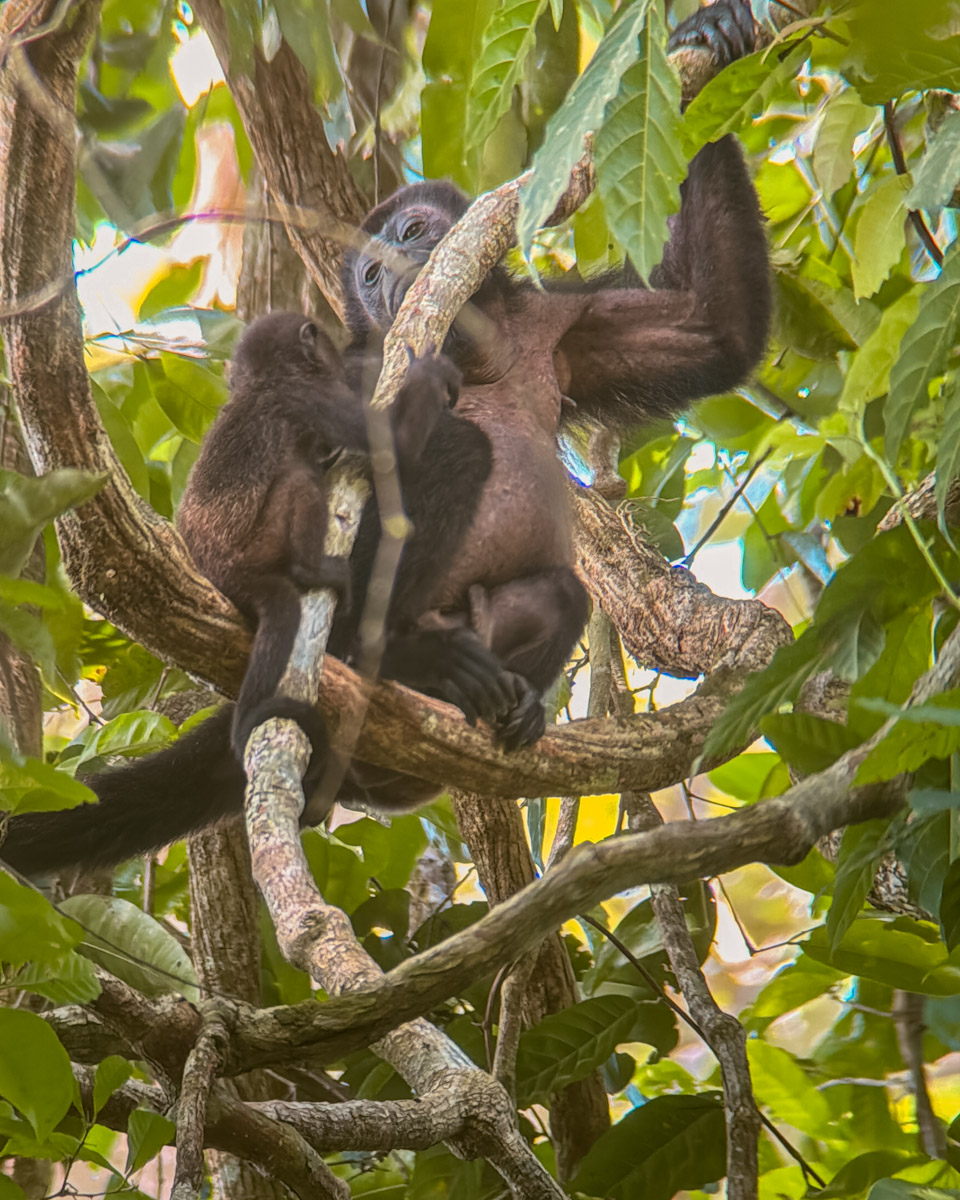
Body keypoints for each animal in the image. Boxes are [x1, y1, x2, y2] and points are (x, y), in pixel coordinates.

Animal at [0, 0, 769, 876]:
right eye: (369, 276)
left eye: (410, 230)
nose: (398, 267)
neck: (478, 348)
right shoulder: (360, 359)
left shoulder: (564, 326)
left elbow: (714, 327)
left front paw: (706, 36)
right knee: (447, 462)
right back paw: (395, 653)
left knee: (560, 590)